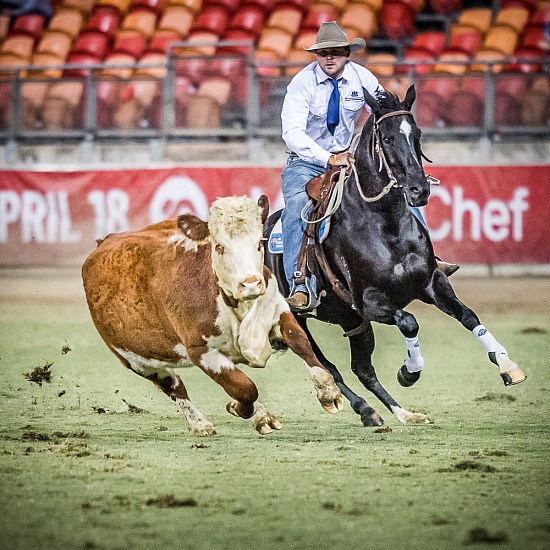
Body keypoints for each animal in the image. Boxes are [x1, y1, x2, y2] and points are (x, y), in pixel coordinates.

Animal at [81, 196, 344, 438]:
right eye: (219, 246)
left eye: (259, 243)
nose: (250, 284)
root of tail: (105, 240)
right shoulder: (201, 351)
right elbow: (245, 388)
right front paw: (244, 410)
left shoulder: (279, 312)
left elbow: (301, 343)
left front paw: (328, 392)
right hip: (135, 359)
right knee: (174, 386)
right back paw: (201, 423)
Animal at [266, 86, 528, 430]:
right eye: (388, 138)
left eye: (416, 134)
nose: (419, 190)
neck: (383, 222)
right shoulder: (370, 301)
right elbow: (409, 321)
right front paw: (409, 371)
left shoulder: (432, 282)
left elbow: (468, 316)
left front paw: (507, 365)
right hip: (299, 320)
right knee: (327, 367)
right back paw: (365, 409)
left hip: (353, 322)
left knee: (363, 369)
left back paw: (398, 413)